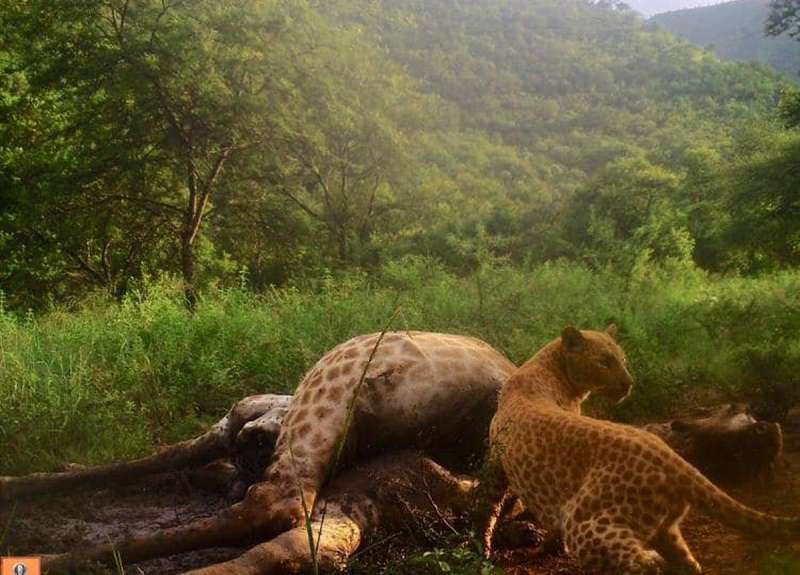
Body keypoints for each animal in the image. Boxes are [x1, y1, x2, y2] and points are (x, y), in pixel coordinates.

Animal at [488, 326, 800, 572]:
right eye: (605, 361)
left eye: (622, 360)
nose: (628, 383)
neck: (549, 367)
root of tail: (675, 462)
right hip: (666, 530)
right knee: (688, 565)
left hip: (590, 525)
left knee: (641, 563)